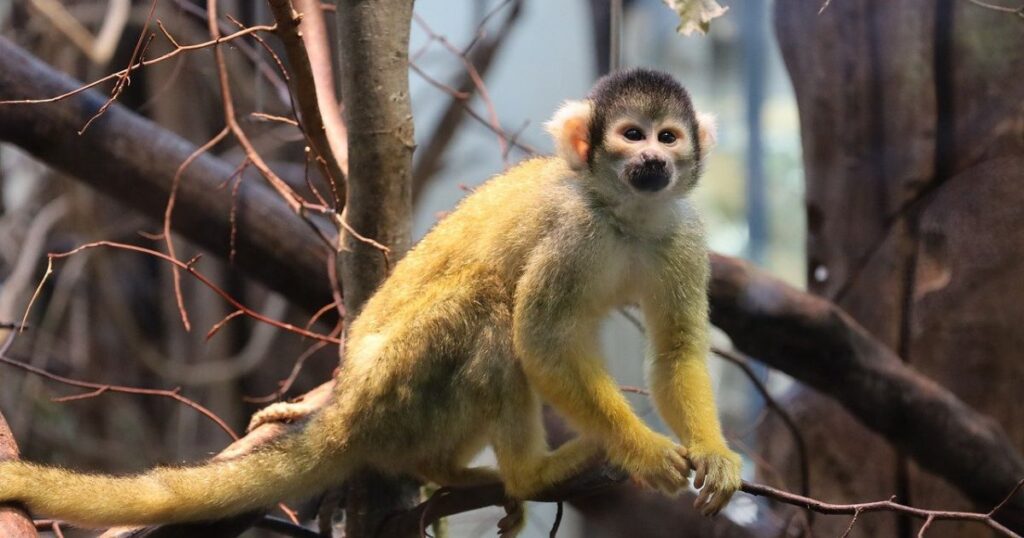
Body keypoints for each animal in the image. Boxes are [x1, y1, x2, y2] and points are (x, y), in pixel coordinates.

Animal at [0, 67, 741, 528]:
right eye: (630, 135)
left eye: (668, 136)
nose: (654, 161)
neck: (623, 214)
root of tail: (350, 405)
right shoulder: (573, 231)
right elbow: (540, 338)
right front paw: (641, 451)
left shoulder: (682, 234)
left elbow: (675, 348)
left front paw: (715, 455)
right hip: (400, 388)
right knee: (492, 310)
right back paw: (529, 473)